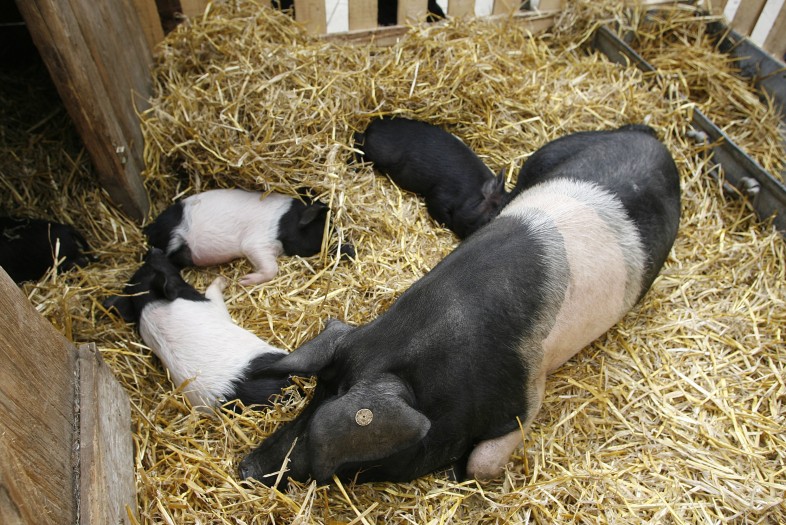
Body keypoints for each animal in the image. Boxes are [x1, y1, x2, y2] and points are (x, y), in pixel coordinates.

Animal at [104, 249, 290, 410]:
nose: (152, 250)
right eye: (153, 267)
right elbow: (213, 294)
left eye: (143, 268)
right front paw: (223, 280)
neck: (148, 305)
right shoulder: (212, 306)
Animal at [144, 189, 330, 286]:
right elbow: (271, 268)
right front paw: (244, 281)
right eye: (322, 230)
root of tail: (150, 229)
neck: (286, 222)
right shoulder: (256, 242)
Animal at [353, 117, 508, 239]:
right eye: (490, 218)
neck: (470, 194)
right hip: (376, 150)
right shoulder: (439, 195)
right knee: (358, 139)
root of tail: (373, 125)